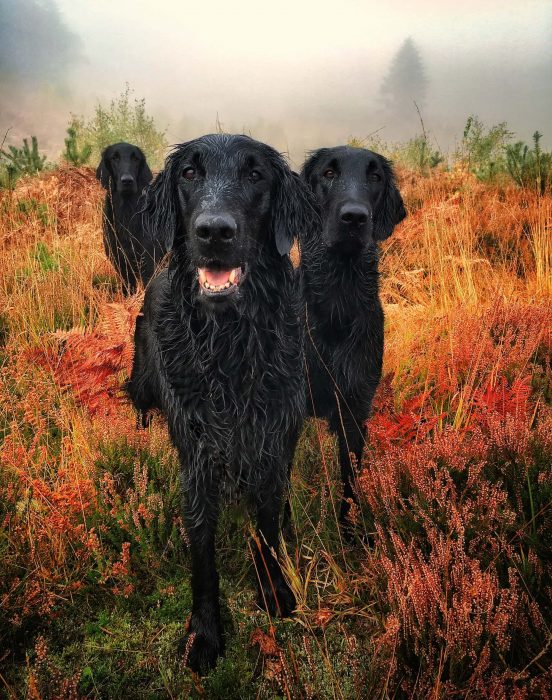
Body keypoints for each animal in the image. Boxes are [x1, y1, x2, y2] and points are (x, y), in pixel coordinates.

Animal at [96, 144, 165, 292]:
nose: (127, 180)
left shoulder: (148, 259)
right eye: (114, 157)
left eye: (135, 158)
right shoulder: (119, 260)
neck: (126, 212)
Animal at [129, 133, 316, 672]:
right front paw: (205, 635)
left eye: (255, 175)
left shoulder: (273, 445)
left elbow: (268, 529)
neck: (229, 347)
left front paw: (274, 592)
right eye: (189, 174)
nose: (214, 231)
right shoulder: (197, 460)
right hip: (143, 376)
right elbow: (202, 557)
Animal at [300, 146, 408, 532]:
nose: (354, 218)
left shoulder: (355, 406)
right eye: (329, 173)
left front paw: (352, 532)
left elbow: (350, 480)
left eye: (374, 177)